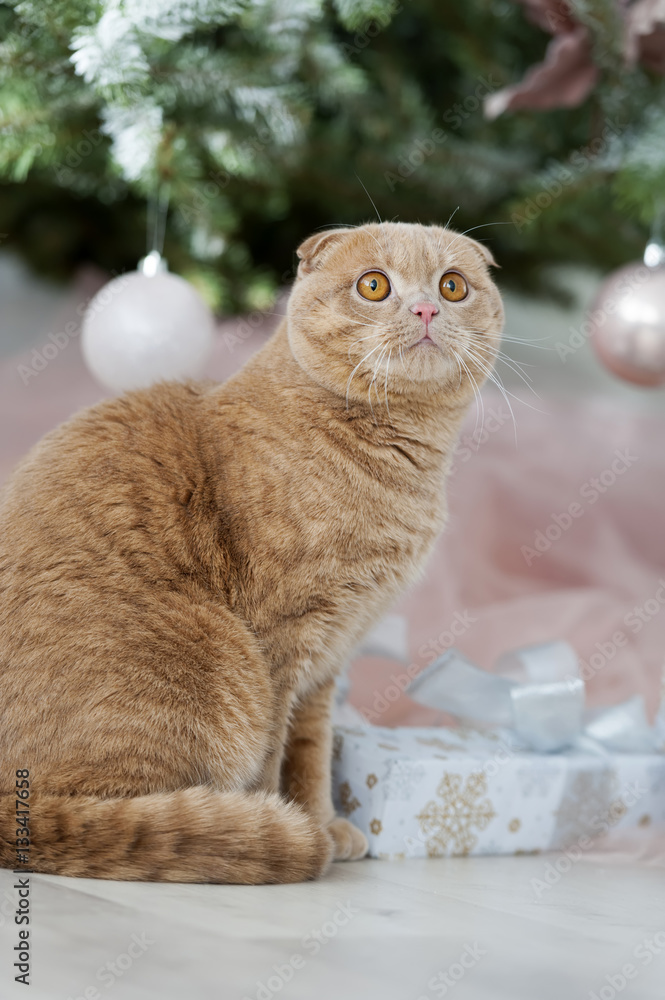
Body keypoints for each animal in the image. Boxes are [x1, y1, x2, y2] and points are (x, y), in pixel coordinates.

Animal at [0, 221, 500, 884]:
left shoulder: (329, 659)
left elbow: (309, 752)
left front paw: (321, 819)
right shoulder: (282, 640)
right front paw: (286, 821)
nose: (426, 308)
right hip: (218, 663)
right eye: (374, 285)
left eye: (453, 285)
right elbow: (272, 753)